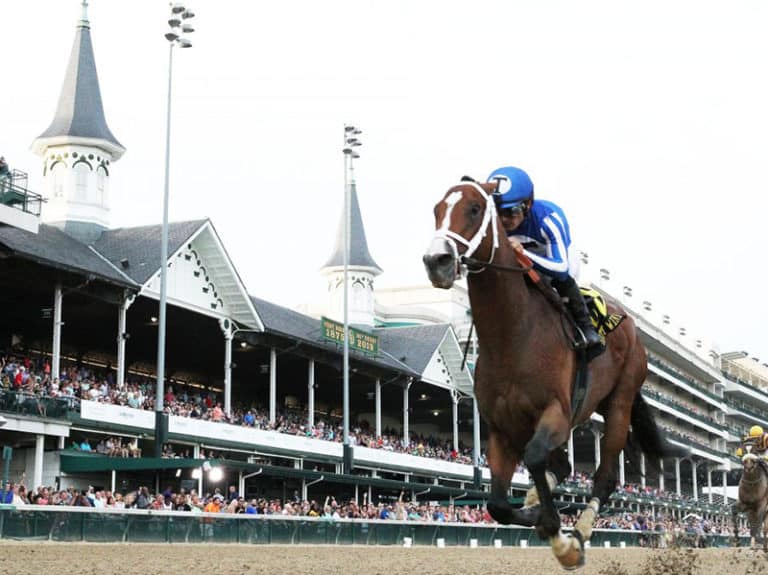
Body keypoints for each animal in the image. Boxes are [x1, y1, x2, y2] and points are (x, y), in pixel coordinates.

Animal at [426, 181, 684, 572]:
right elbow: (497, 505)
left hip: (618, 406)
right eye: (437, 210)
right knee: (562, 466)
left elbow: (534, 459)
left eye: (473, 208)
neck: (513, 335)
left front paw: (558, 534)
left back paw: (578, 534)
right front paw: (537, 513)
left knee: (604, 477)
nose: (436, 261)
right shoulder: (501, 428)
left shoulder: (557, 414)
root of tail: (630, 328)